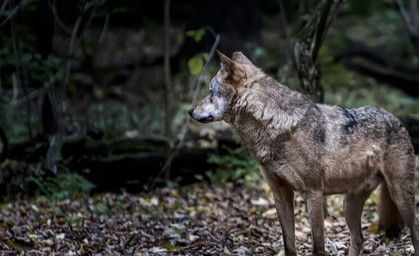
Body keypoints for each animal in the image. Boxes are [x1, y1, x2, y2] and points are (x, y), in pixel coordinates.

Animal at [189, 51, 419, 255]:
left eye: (210, 92)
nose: (190, 111)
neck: (274, 126)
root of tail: (397, 119)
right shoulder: (281, 195)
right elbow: (289, 246)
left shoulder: (313, 193)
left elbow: (318, 247)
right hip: (349, 205)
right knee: (358, 239)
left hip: (400, 197)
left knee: (414, 233)